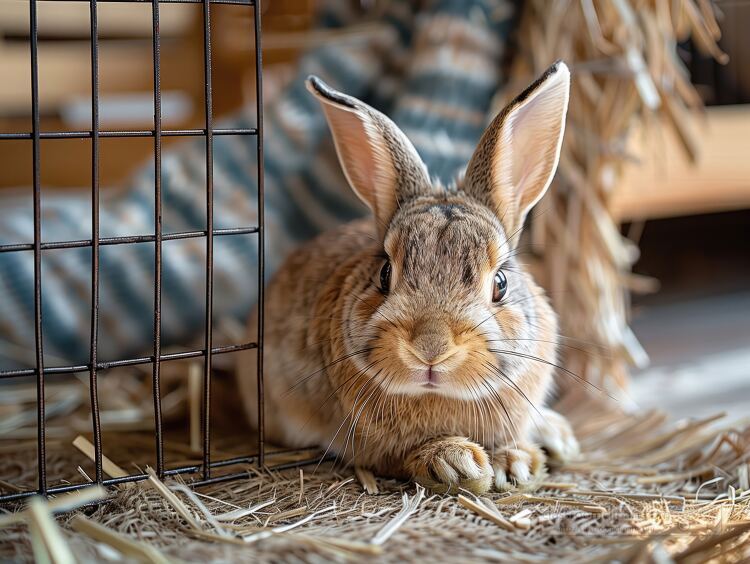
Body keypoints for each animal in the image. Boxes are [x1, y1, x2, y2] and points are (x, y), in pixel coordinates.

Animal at [238, 62, 580, 494]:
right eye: (385, 273)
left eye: (500, 284)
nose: (430, 349)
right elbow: (398, 457)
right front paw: (456, 462)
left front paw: (516, 462)